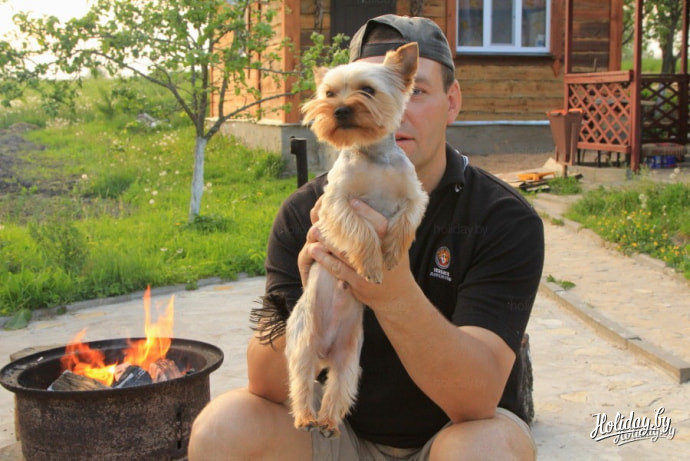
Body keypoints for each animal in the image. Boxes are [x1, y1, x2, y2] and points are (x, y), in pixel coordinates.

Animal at [284, 42, 428, 438]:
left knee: (338, 388)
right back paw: (306, 418)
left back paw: (329, 423)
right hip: (302, 345)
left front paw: (391, 254)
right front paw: (372, 264)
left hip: (349, 359)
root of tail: (324, 351)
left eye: (367, 90)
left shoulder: (414, 196)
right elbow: (360, 230)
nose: (340, 110)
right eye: (329, 94)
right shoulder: (337, 203)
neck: (373, 156)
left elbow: (405, 223)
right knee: (301, 385)